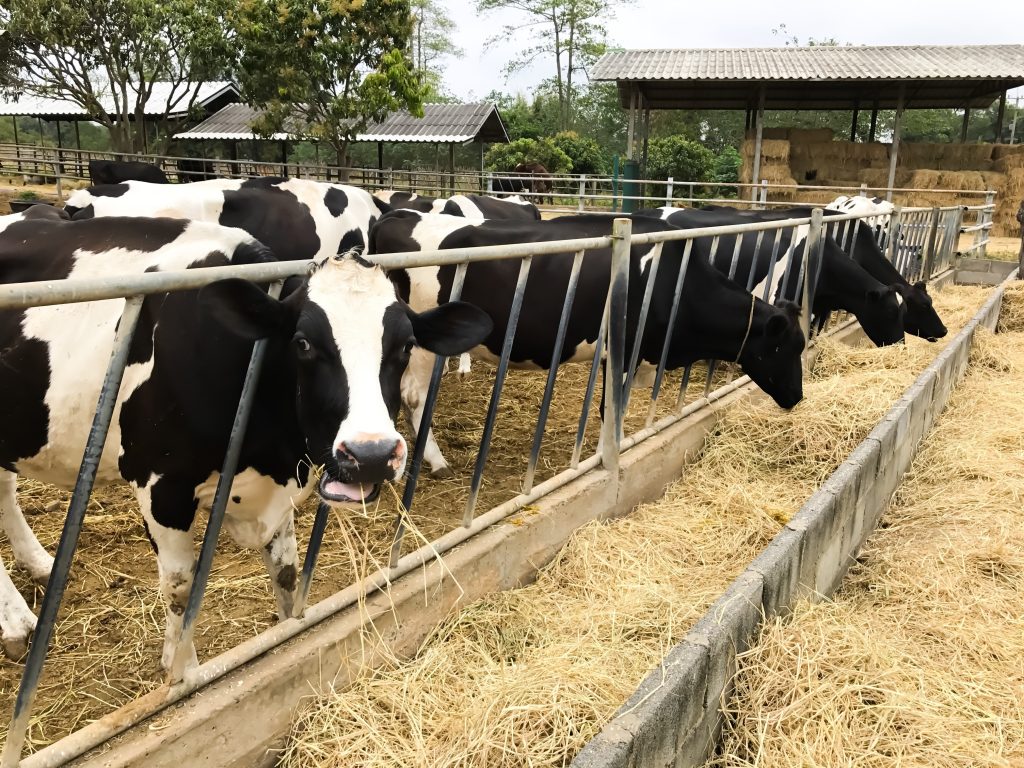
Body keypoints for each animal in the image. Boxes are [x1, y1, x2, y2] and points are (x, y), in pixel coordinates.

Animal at [0, 215, 489, 667]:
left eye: (406, 345)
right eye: (303, 343)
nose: (372, 455)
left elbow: (287, 572)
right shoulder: (160, 483)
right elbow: (179, 589)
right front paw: (180, 669)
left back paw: (41, 566)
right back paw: (16, 621)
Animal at [370, 207, 806, 479]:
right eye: (782, 348)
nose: (798, 397)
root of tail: (397, 214)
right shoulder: (625, 351)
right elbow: (610, 409)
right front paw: (607, 454)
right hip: (422, 342)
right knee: (414, 396)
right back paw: (436, 460)